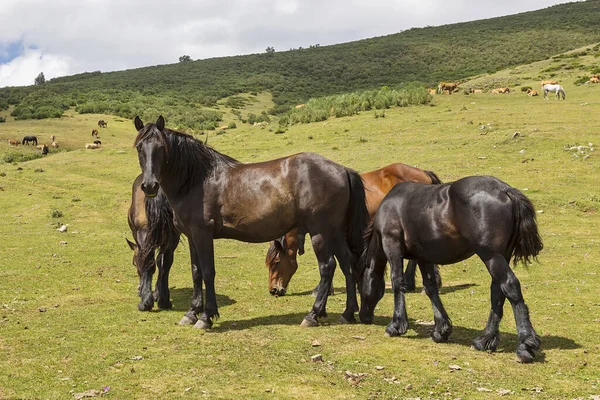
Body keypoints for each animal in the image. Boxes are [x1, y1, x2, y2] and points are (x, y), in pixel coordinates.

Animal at [126, 173, 180, 310]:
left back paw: (145, 302)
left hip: (144, 232)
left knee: (149, 261)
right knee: (164, 262)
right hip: (172, 236)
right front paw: (157, 293)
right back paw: (164, 301)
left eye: (133, 263)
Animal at [135, 115, 370, 328]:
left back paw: (312, 315)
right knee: (347, 264)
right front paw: (191, 313)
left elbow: (208, 272)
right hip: (335, 232)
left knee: (328, 267)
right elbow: (196, 272)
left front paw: (206, 317)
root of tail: (342, 170)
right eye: (139, 147)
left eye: (161, 148)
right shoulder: (192, 237)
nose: (149, 186)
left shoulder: (203, 234)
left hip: (320, 232)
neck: (197, 180)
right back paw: (348, 313)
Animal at [358, 177, 548, 364]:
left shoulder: (392, 246)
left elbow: (397, 282)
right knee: (498, 292)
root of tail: (505, 190)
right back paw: (484, 340)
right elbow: (431, 288)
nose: (363, 316)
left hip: (491, 256)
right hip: (500, 257)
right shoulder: (423, 257)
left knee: (510, 286)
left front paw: (396, 325)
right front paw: (441, 330)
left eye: (360, 288)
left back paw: (525, 345)